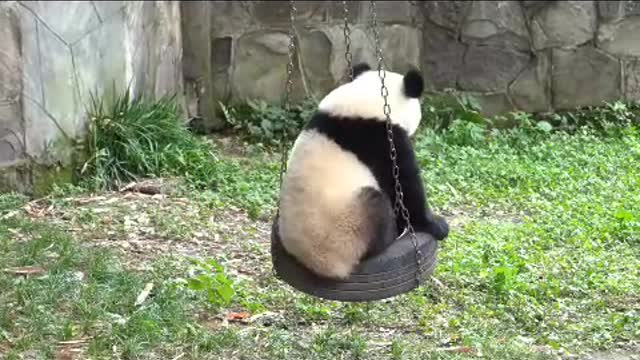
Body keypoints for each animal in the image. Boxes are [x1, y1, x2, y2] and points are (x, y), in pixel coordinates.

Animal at [276, 63, 450, 280]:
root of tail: (320, 265)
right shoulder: (382, 141)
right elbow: (405, 185)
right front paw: (436, 225)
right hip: (348, 226)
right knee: (376, 206)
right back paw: (394, 232)